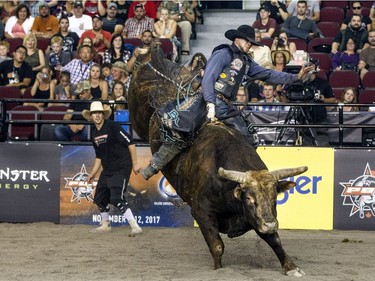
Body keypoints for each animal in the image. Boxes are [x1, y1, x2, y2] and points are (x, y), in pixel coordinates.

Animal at [129, 42, 308, 274]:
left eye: (274, 197)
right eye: (249, 199)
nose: (270, 224)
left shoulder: (257, 217)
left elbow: (274, 241)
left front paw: (291, 267)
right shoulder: (201, 212)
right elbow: (217, 245)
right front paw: (218, 268)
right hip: (138, 108)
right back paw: (146, 53)